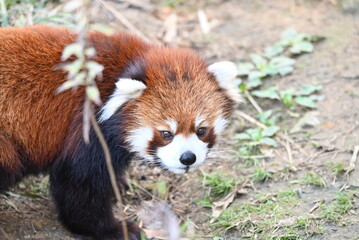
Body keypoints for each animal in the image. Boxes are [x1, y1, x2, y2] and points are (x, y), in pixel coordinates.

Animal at [0, 25, 242, 239]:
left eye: (201, 130)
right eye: (166, 134)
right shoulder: (87, 126)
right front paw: (113, 230)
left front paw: (119, 183)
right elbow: (77, 184)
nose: (188, 158)